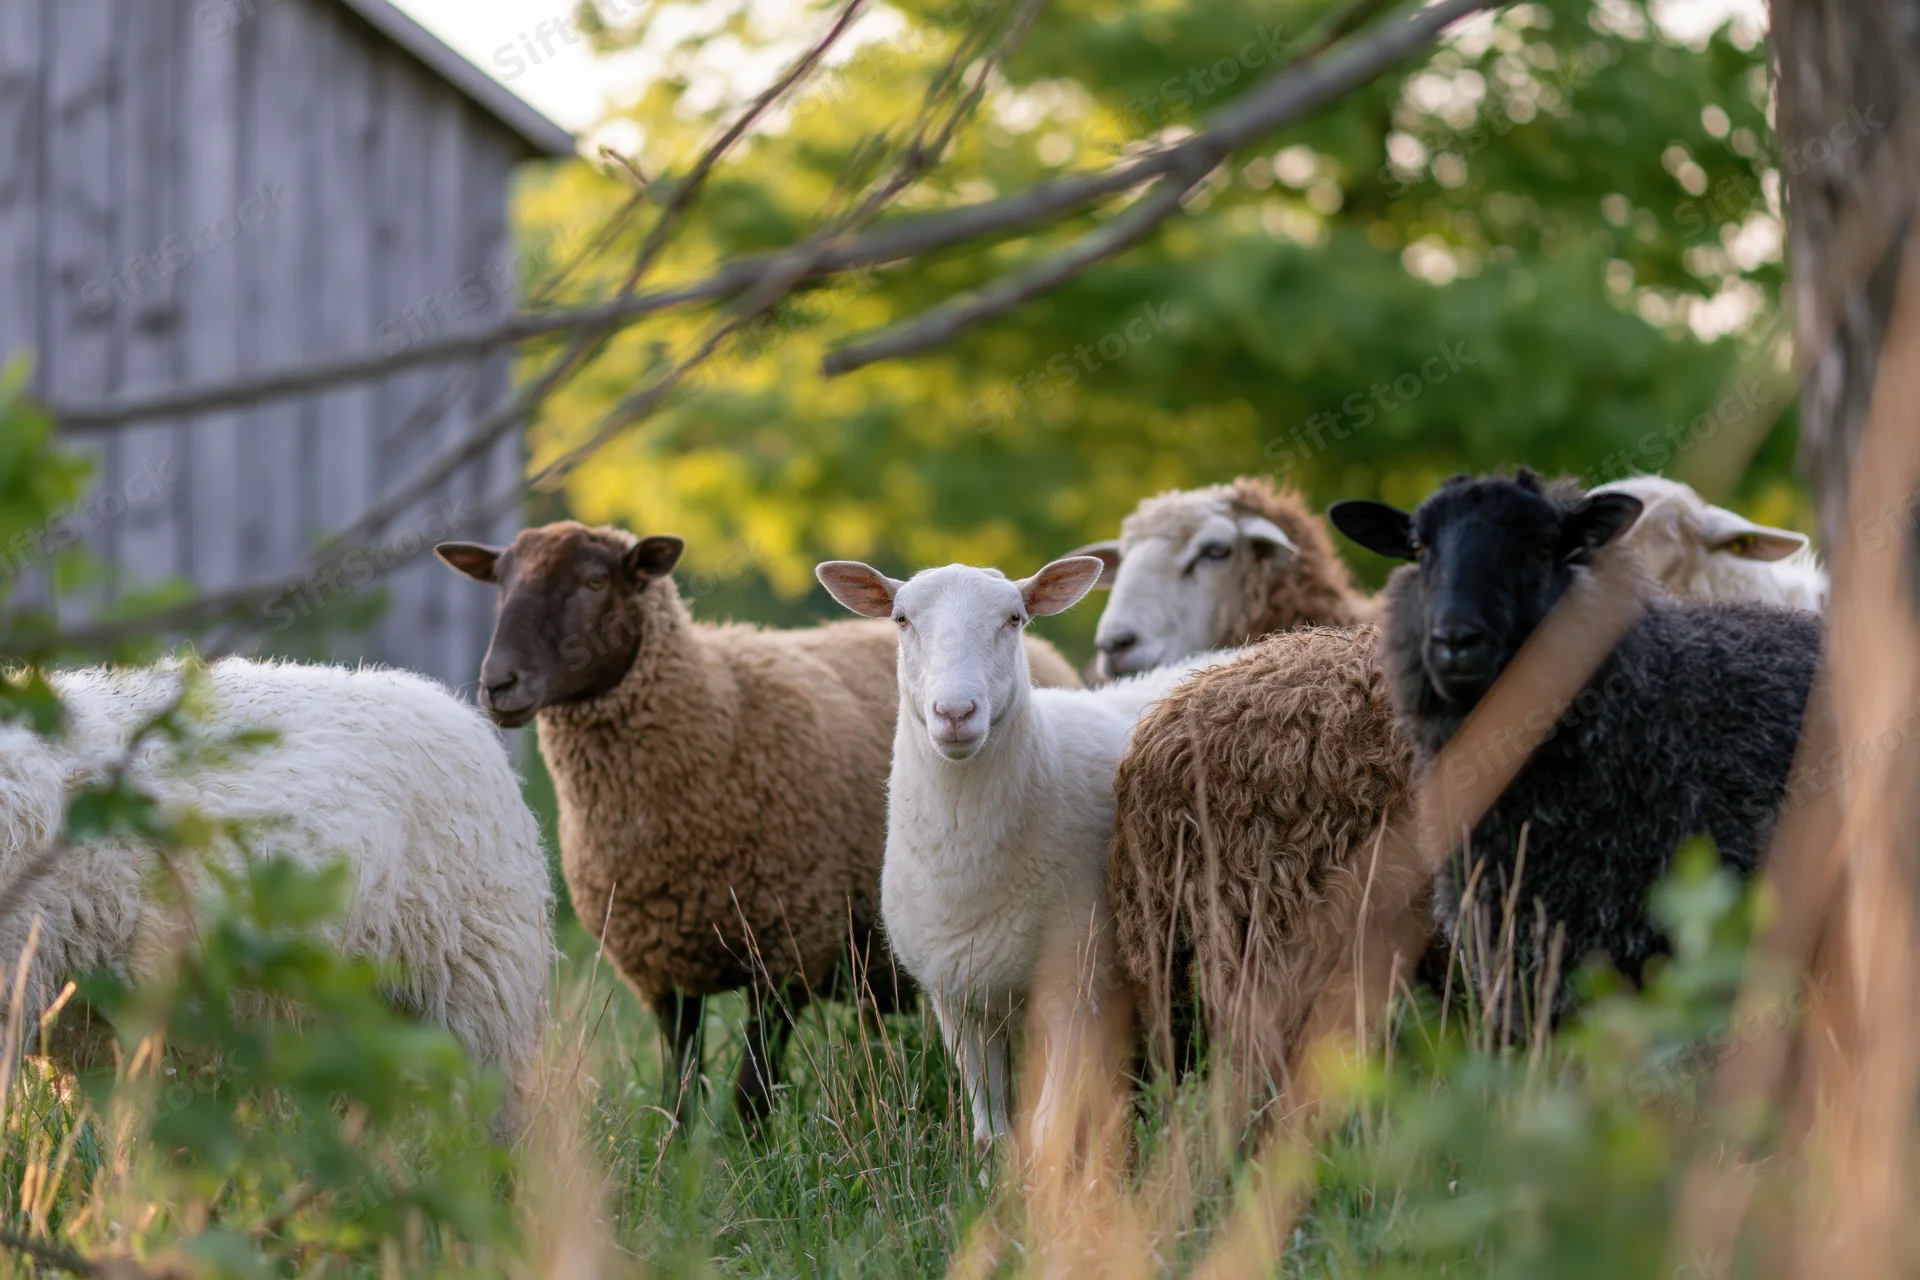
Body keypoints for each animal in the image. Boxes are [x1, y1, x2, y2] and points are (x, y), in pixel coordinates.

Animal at [436, 522, 1080, 1129]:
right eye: (500, 582)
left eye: (595, 581)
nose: (499, 683)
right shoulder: (663, 969)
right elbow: (680, 1091)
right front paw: (681, 1154)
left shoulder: (790, 950)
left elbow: (751, 1095)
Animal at [816, 555, 1223, 1153]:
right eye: (901, 619)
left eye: (1014, 619)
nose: (955, 712)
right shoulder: (959, 1001)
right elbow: (991, 1133)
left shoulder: (1076, 989)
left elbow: (1050, 1128)